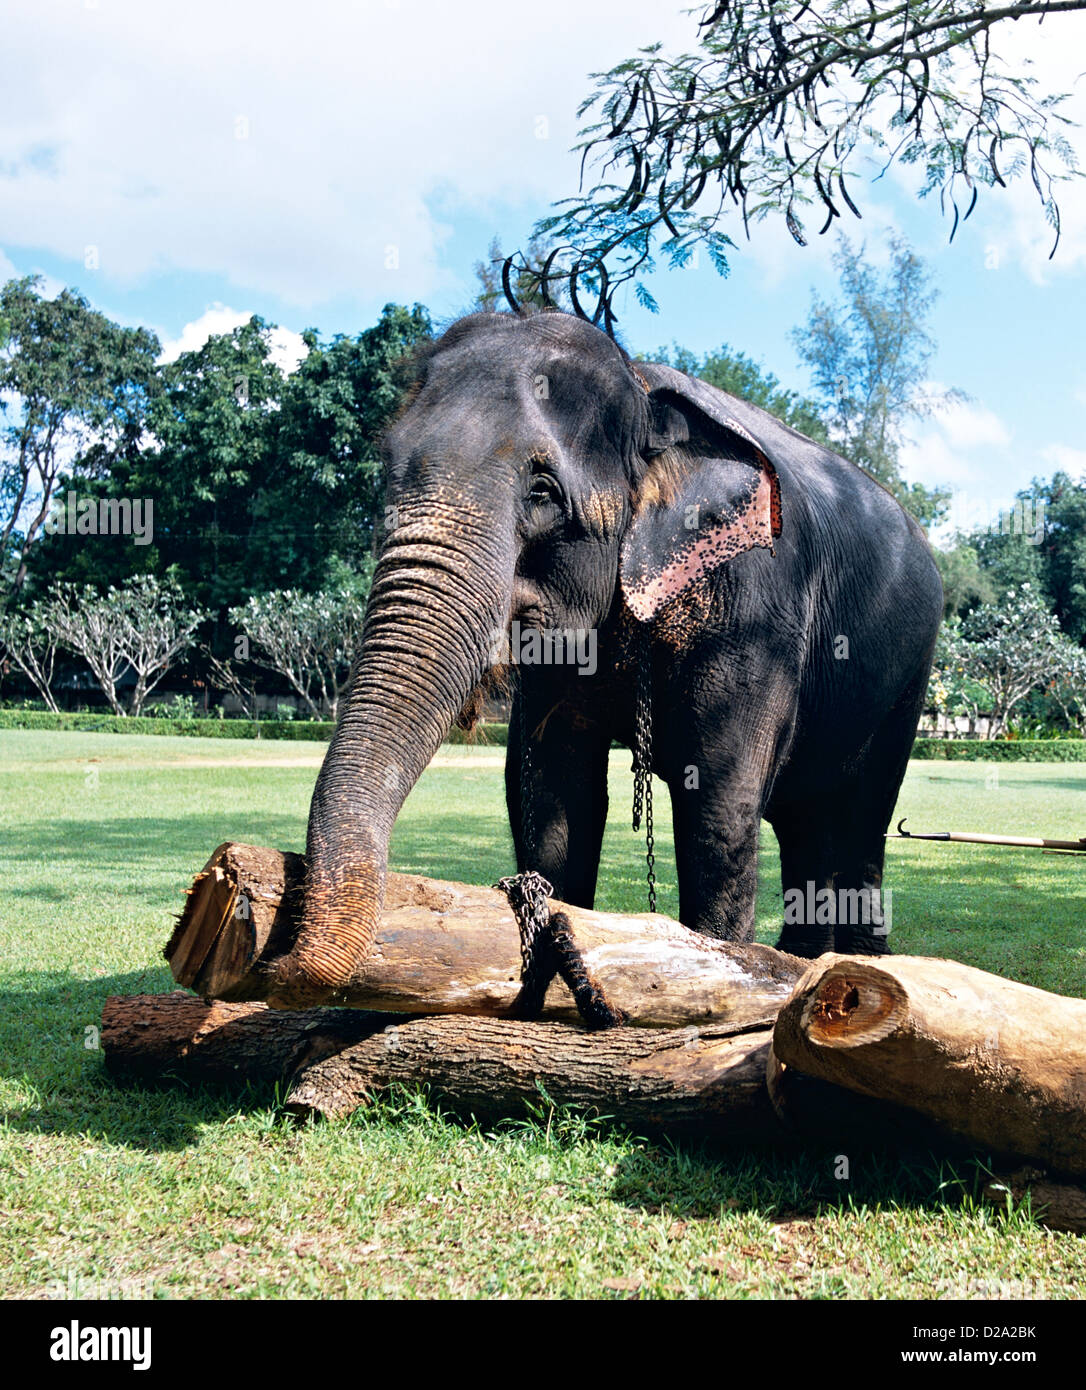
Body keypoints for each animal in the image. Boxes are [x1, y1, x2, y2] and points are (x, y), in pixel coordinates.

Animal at [266, 309, 945, 1006]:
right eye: (386, 471)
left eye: (542, 491)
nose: (277, 963)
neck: (641, 387)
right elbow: (553, 792)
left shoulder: (755, 608)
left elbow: (718, 801)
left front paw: (726, 975)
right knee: (807, 816)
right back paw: (810, 961)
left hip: (908, 672)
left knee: (857, 814)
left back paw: (855, 968)